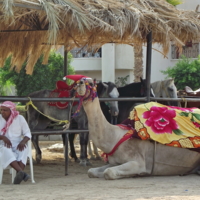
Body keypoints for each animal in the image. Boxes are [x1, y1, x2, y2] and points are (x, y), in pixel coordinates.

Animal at [72, 76, 200, 180]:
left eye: (91, 83)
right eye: (79, 81)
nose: (80, 83)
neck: (115, 137)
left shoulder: (138, 162)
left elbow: (109, 172)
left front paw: (137, 174)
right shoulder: (114, 162)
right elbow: (91, 171)